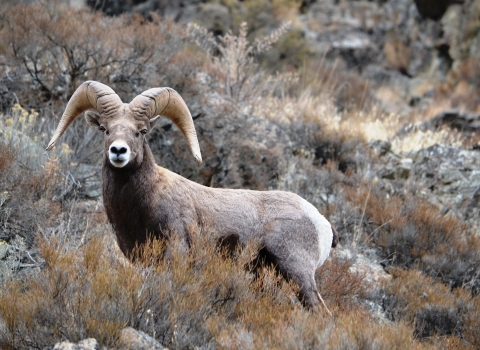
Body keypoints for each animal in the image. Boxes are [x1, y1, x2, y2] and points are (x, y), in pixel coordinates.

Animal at [46, 80, 338, 308]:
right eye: (104, 129)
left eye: (141, 131)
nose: (118, 151)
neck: (143, 202)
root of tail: (321, 222)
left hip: (297, 273)